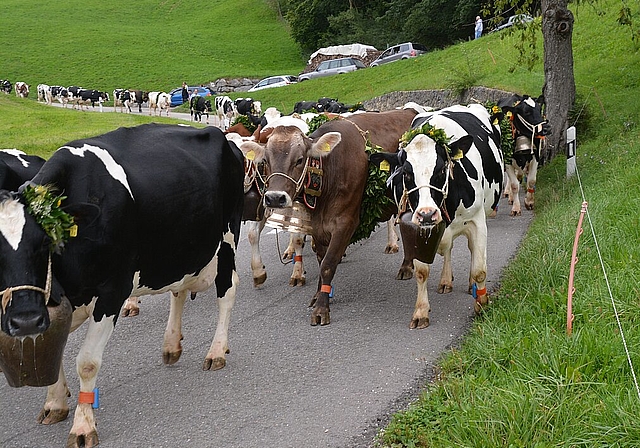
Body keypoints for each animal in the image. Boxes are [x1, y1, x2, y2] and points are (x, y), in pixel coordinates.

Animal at [0, 122, 245, 448]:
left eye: (43, 243)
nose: (24, 319)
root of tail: (221, 135)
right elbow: (53, 347)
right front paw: (54, 404)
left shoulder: (112, 290)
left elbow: (87, 362)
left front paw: (83, 426)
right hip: (180, 249)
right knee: (179, 291)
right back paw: (171, 345)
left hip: (228, 236)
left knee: (227, 292)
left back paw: (216, 351)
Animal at [370, 105, 504, 328]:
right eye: (406, 173)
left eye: (442, 169)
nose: (427, 214)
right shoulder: (418, 229)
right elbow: (422, 272)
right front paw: (421, 312)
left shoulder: (477, 221)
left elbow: (479, 269)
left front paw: (482, 305)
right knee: (448, 248)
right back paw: (445, 280)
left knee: (470, 250)